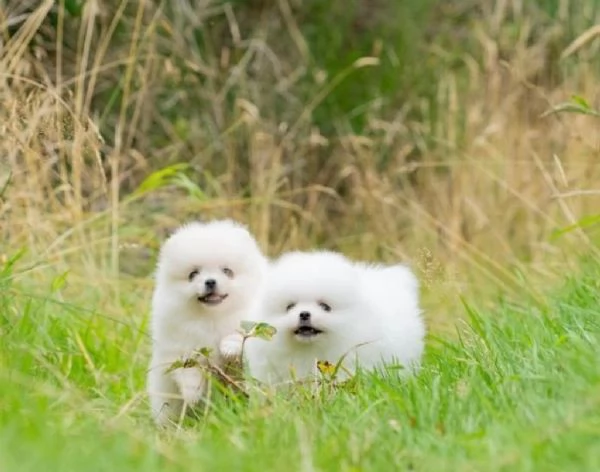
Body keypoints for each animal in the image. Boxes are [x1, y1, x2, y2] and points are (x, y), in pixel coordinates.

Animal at [146, 219, 266, 426]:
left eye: (227, 271)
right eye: (193, 274)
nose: (210, 281)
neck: (212, 317)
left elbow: (240, 335)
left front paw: (229, 347)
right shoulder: (177, 344)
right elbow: (187, 368)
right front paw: (192, 393)